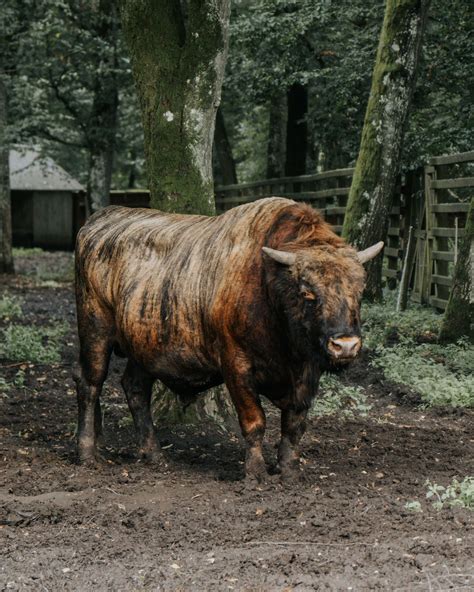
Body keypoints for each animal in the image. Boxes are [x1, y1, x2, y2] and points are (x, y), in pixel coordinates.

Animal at [75, 199, 386, 480]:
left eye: (359, 291)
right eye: (307, 293)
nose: (345, 345)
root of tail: (100, 219)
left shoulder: (306, 374)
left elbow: (294, 425)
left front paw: (289, 471)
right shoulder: (237, 366)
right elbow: (255, 421)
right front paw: (255, 473)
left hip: (144, 346)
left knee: (135, 389)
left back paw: (154, 455)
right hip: (95, 331)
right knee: (89, 384)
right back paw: (87, 453)